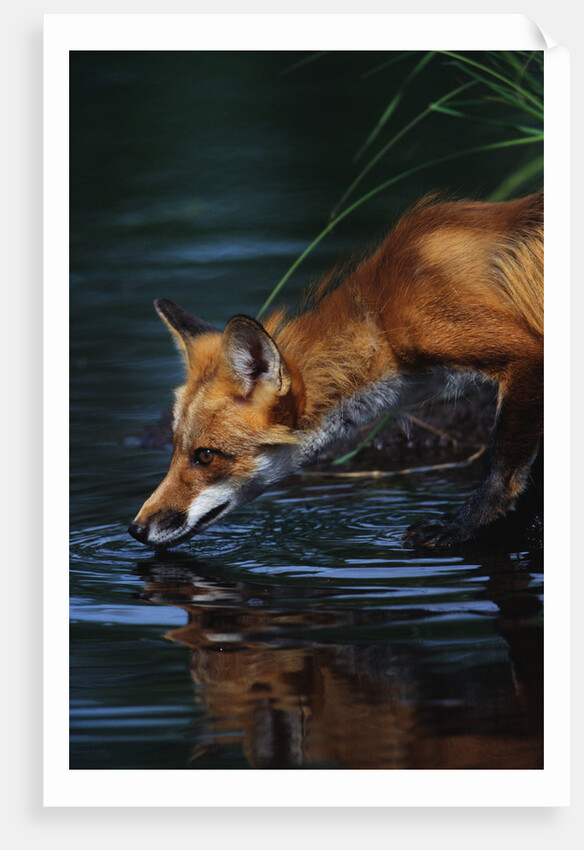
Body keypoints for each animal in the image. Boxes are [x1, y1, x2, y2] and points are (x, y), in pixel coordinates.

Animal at [128, 192, 543, 551]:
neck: (383, 317)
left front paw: (463, 527)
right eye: (175, 447)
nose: (135, 529)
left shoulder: (523, 353)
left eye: (206, 456)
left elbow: (500, 469)